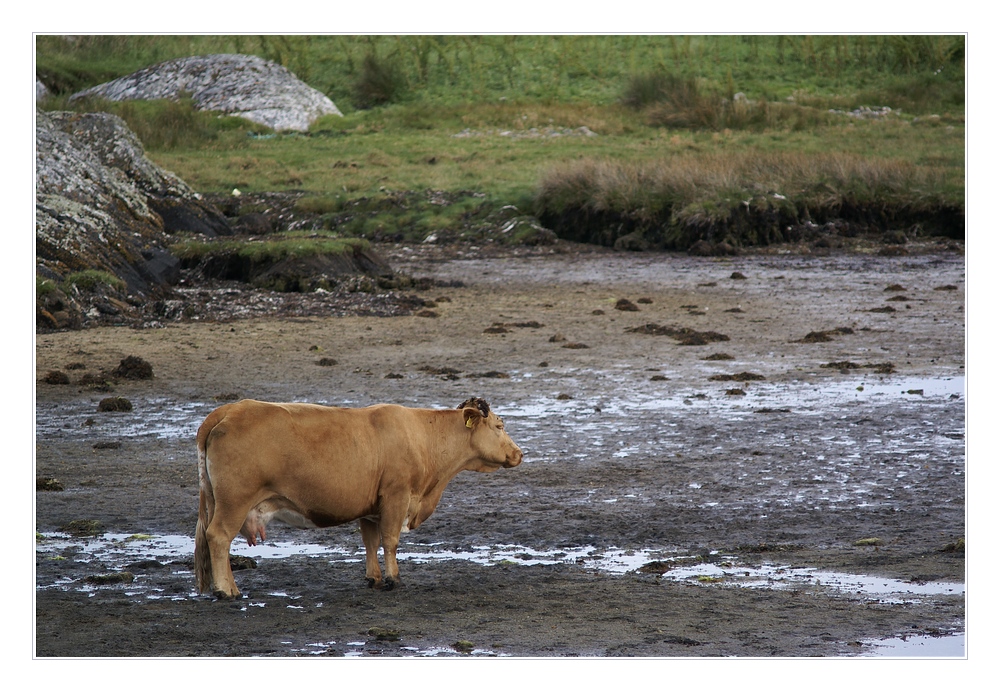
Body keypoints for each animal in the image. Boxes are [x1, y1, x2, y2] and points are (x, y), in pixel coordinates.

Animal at [193, 398, 524, 596]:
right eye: (499, 426)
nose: (519, 453)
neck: (420, 436)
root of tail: (229, 410)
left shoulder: (371, 506)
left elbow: (370, 542)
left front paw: (373, 577)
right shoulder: (396, 496)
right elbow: (389, 540)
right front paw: (394, 579)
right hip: (234, 501)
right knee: (219, 537)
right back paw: (226, 590)